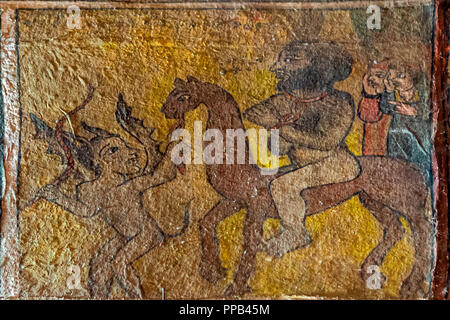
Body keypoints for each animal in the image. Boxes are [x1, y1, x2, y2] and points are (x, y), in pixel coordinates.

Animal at [161, 76, 432, 298]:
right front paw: (212, 271)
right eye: (172, 94)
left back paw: (411, 284)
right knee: (395, 229)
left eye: (183, 96)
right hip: (371, 199)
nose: (166, 109)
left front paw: (236, 286)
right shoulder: (234, 202)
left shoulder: (256, 205)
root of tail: (417, 170)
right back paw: (370, 270)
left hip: (402, 203)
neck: (243, 167)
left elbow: (249, 240)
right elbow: (206, 223)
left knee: (422, 231)